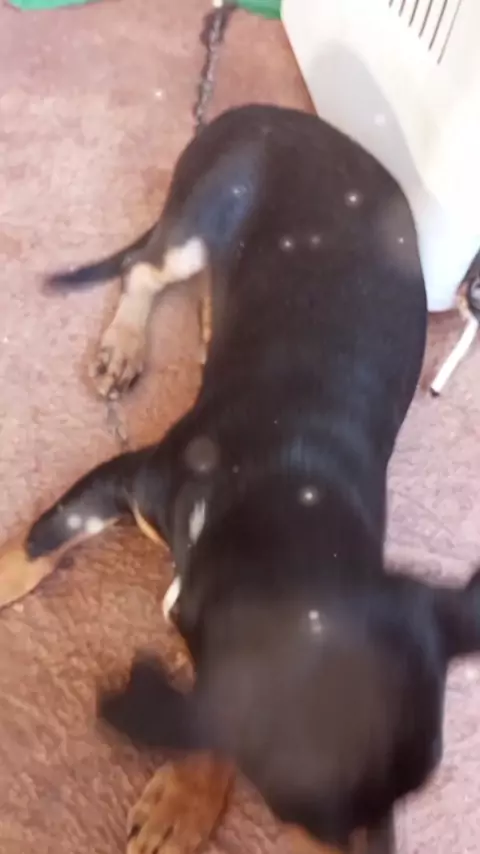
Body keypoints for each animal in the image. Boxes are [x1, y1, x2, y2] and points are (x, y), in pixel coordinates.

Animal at [1, 105, 479, 854]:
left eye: (405, 801)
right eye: (307, 805)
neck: (289, 491)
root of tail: (265, 112)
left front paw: (186, 802)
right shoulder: (128, 476)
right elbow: (38, 542)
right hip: (200, 221)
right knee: (143, 268)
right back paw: (125, 345)